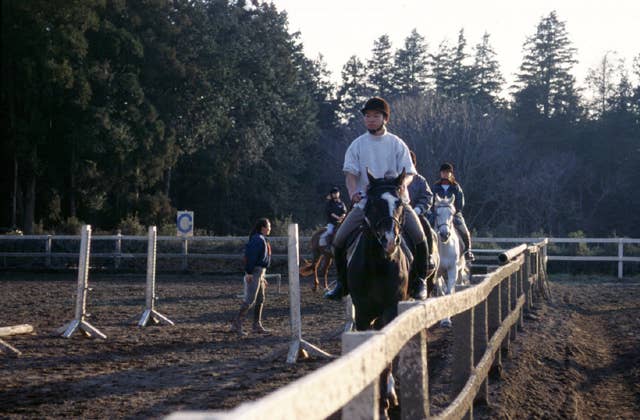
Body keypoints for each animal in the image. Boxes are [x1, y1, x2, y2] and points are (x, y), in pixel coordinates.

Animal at [432, 195, 468, 326]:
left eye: (451, 214)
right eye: (436, 213)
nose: (444, 234)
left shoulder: (452, 269)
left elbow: (448, 291)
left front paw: (446, 320)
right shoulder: (437, 273)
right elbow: (441, 292)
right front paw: (443, 319)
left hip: (459, 269)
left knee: (457, 285)